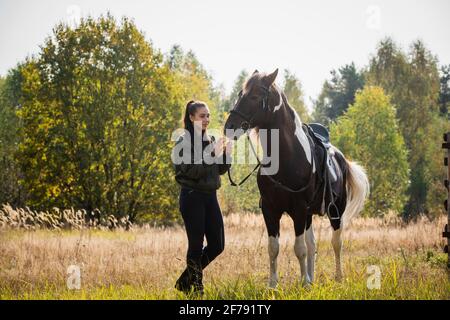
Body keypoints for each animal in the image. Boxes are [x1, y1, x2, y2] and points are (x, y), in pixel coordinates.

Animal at [224, 70, 370, 288]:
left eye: (255, 97)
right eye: (240, 94)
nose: (229, 126)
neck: (287, 158)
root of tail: (341, 157)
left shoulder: (299, 209)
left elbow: (299, 248)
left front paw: (303, 283)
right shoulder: (270, 209)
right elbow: (274, 247)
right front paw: (274, 285)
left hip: (335, 211)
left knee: (336, 242)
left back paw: (337, 278)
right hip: (309, 215)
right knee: (312, 244)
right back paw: (311, 277)